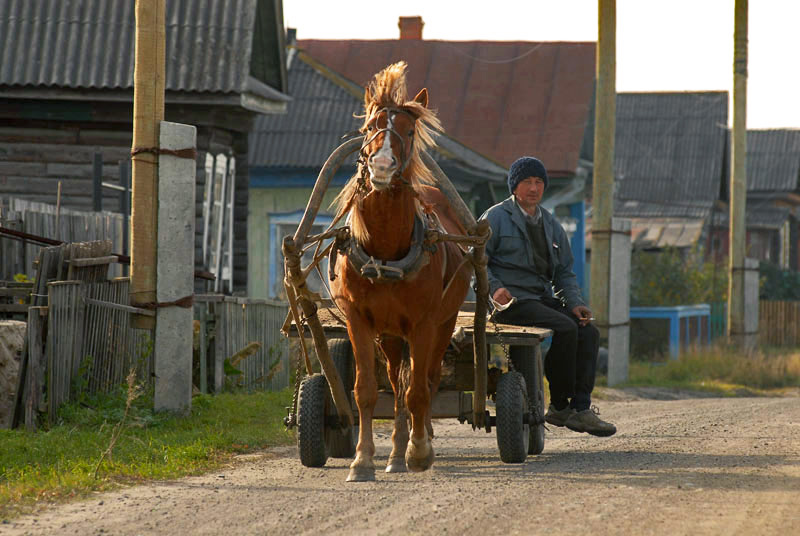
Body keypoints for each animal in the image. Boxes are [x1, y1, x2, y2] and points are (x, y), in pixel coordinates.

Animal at [330, 62, 472, 482]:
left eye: (408, 131)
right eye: (370, 127)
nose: (381, 166)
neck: (385, 251)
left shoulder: (424, 324)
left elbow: (419, 392)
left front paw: (419, 451)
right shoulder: (358, 321)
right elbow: (365, 391)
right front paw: (362, 460)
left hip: (441, 325)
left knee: (424, 380)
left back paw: (415, 445)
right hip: (390, 335)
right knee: (395, 381)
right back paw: (394, 453)